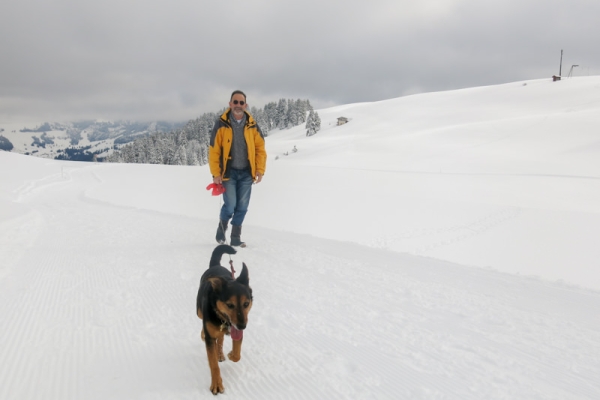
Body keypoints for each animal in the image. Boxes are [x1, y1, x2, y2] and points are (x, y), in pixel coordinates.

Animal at [197, 244, 253, 394]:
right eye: (229, 305)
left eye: (246, 304)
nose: (242, 326)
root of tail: (216, 265)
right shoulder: (211, 338)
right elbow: (213, 364)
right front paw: (216, 384)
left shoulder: (237, 330)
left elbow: (237, 355)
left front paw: (230, 355)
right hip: (199, 311)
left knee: (221, 338)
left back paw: (220, 353)